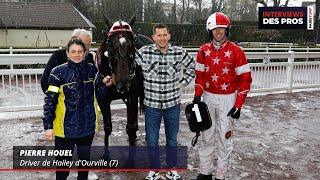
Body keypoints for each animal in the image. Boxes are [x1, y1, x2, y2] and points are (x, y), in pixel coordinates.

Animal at [96, 14, 152, 148]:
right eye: (110, 45)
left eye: (133, 44)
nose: (123, 83)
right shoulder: (103, 100)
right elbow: (107, 128)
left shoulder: (132, 95)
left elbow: (130, 128)